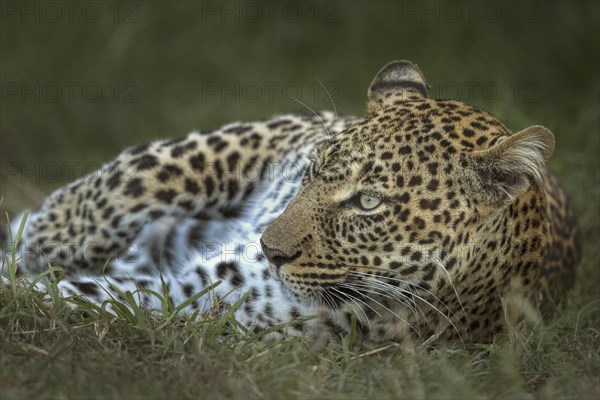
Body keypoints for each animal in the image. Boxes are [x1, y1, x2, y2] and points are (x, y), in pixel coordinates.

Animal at [1, 60, 580, 344]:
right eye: (312, 172)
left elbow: (71, 298)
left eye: (369, 203)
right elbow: (147, 172)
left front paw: (25, 276)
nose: (270, 250)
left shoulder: (202, 302)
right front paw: (45, 237)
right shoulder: (270, 137)